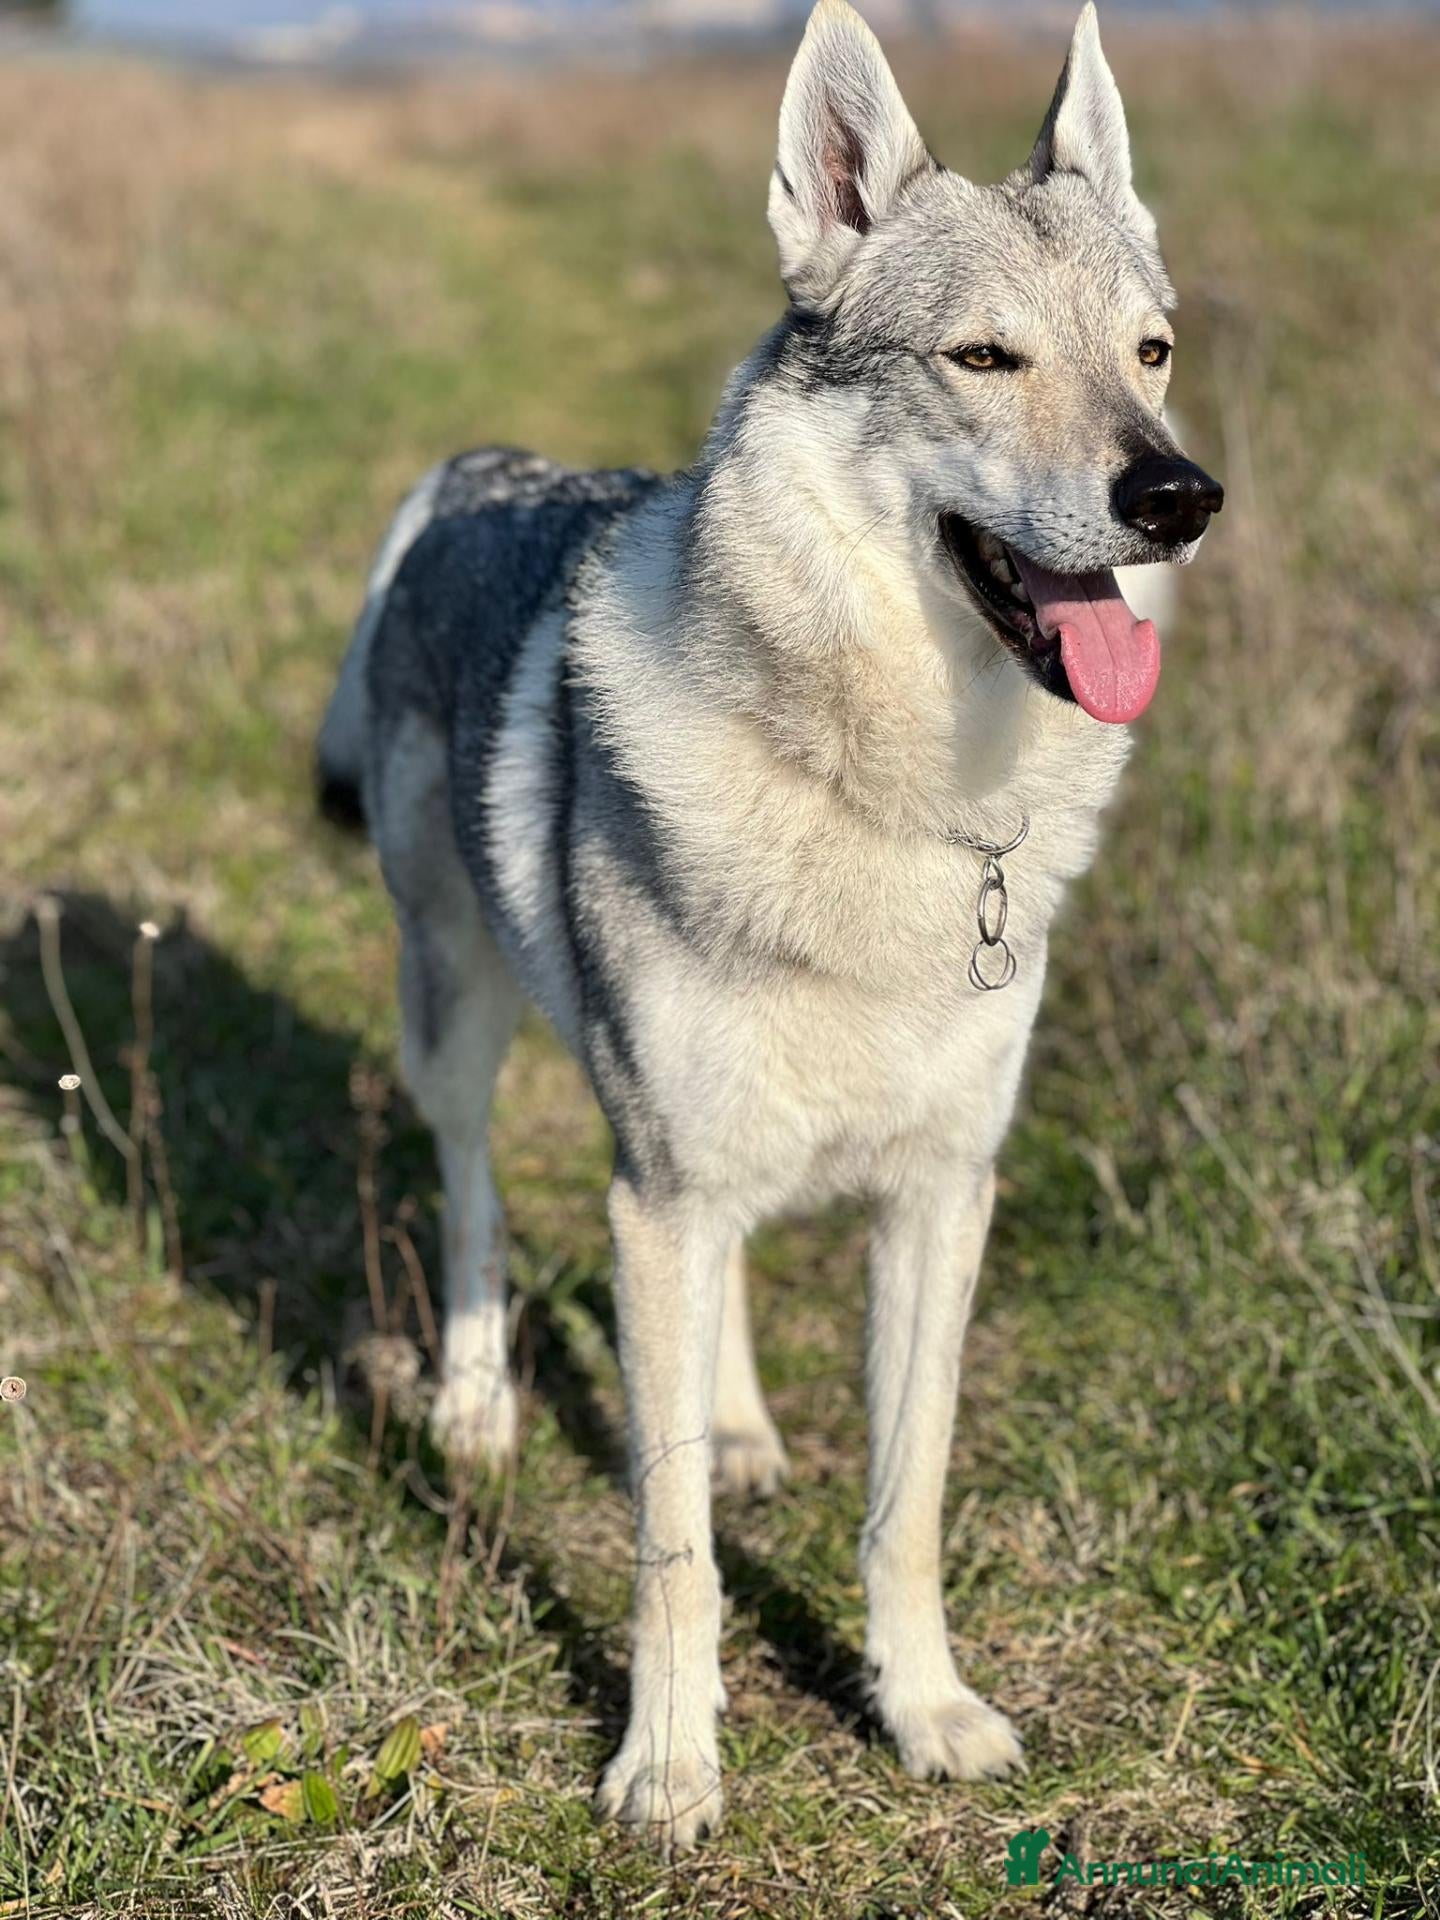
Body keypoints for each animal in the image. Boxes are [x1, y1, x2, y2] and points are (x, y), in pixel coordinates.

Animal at [318, 0, 1220, 1847]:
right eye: (984, 359)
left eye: (1153, 352)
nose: (1178, 496)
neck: (898, 806)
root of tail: (465, 472)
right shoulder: (654, 1186)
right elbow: (670, 1551)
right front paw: (667, 1768)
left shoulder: (941, 1194)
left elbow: (904, 1501)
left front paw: (923, 1710)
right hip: (462, 1028)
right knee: (473, 1205)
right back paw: (472, 1405)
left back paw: (730, 1427)